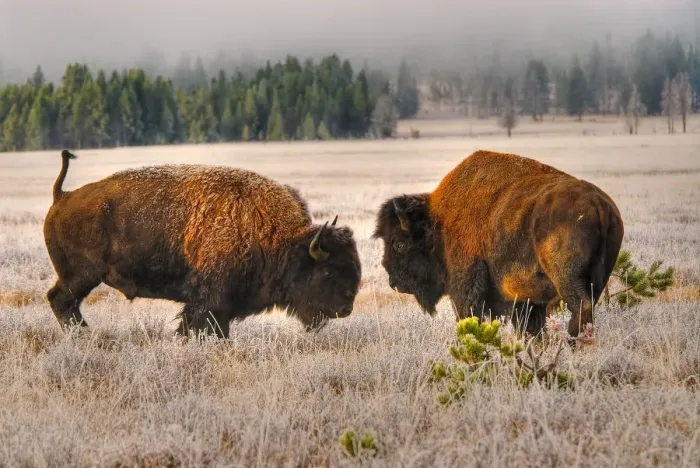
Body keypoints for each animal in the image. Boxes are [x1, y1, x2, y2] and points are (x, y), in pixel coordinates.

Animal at [44, 150, 361, 337]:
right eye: (328, 270)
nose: (346, 308)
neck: (281, 240)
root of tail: (62, 197)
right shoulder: (208, 300)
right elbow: (196, 324)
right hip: (81, 276)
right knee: (61, 300)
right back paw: (83, 334)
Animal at [373, 150, 624, 338]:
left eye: (399, 244)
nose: (393, 282)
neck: (438, 222)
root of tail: (598, 203)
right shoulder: (525, 302)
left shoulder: (466, 290)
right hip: (597, 279)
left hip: (566, 276)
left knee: (580, 306)